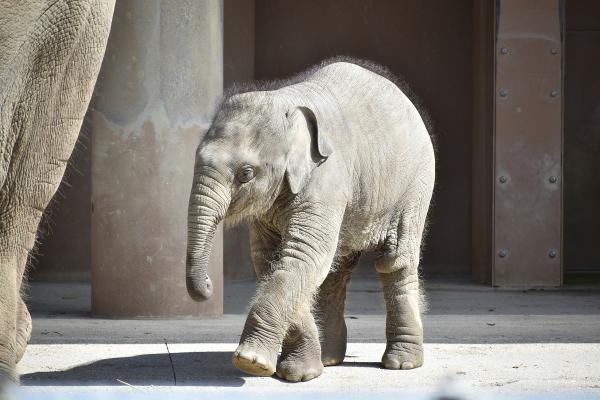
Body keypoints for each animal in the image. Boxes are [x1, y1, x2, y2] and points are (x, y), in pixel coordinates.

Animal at [185, 58, 434, 382]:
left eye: (246, 174)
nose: (208, 286)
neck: (283, 100)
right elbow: (274, 261)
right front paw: (301, 372)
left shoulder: (327, 177)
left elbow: (303, 255)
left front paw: (253, 363)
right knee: (335, 270)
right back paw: (329, 360)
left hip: (415, 186)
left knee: (395, 260)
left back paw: (402, 364)